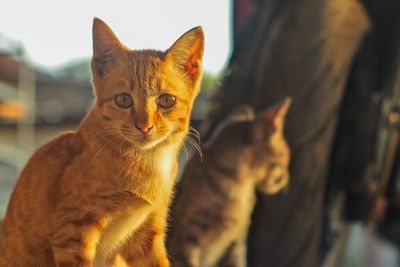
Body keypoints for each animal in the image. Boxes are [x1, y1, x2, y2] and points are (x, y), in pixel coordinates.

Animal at [0, 17, 205, 266]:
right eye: (123, 99)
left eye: (167, 100)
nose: (144, 126)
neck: (147, 162)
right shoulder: (73, 232)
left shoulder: (148, 231)